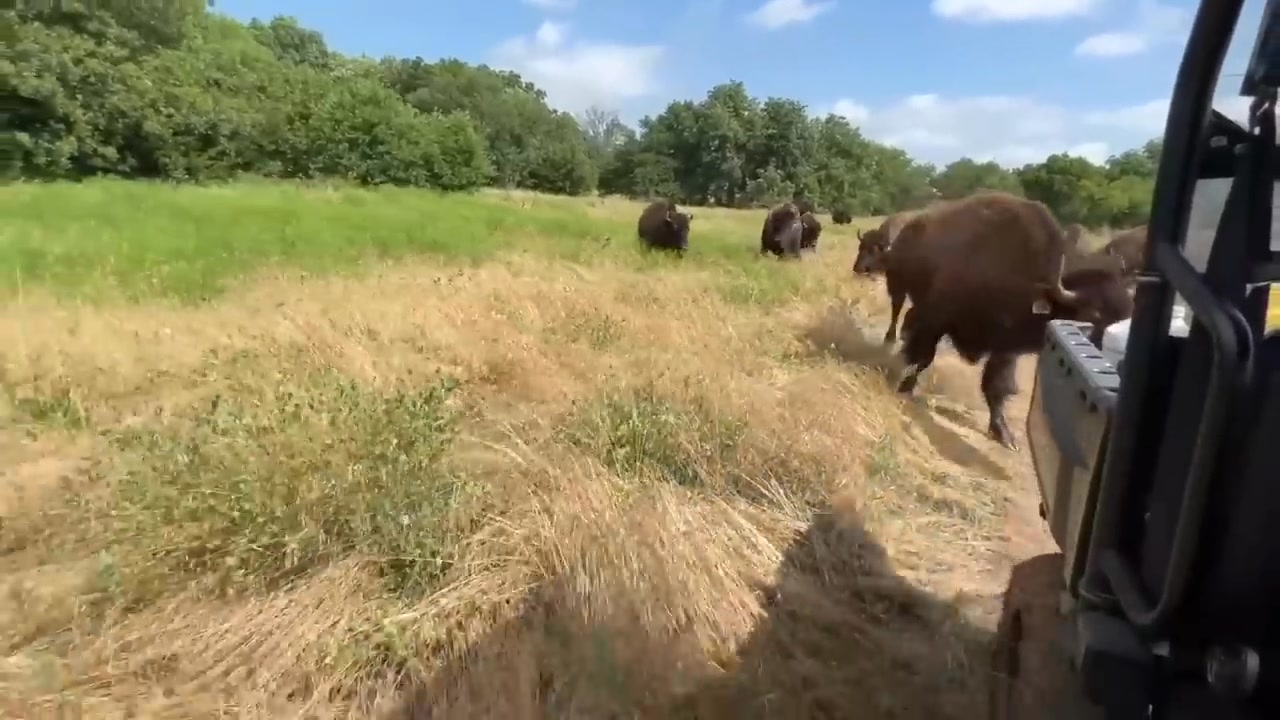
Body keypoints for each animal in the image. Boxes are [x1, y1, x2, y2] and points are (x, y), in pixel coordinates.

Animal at [884, 192, 1133, 450]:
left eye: (1129, 313)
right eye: (1093, 317)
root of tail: (911, 226)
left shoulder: (1005, 345)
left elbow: (997, 385)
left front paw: (1004, 434)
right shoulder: (936, 319)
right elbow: (923, 357)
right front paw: (903, 388)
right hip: (898, 285)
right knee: (899, 313)